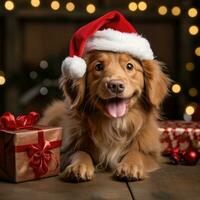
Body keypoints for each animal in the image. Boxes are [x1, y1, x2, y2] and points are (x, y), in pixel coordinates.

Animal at [40, 49, 170, 181]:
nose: (116, 85)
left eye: (130, 66)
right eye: (98, 66)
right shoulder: (64, 152)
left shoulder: (153, 155)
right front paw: (79, 165)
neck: (115, 124)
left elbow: (136, 152)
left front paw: (130, 166)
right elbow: (80, 152)